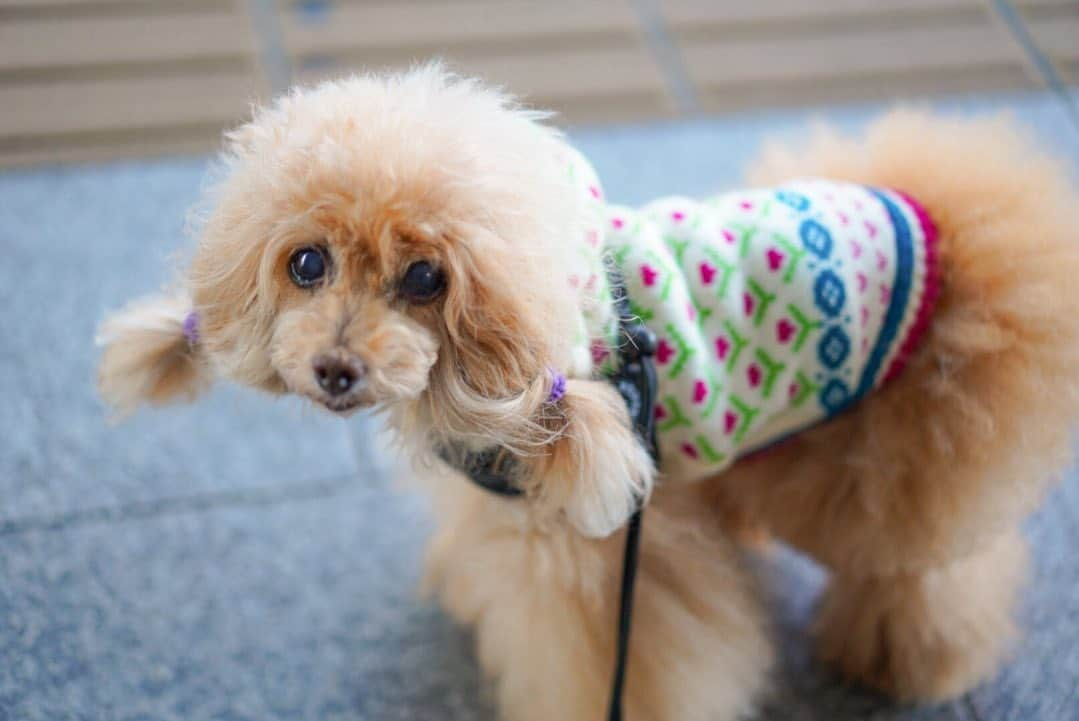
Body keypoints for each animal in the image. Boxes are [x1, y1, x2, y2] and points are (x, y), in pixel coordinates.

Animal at [94, 66, 1079, 716]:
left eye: (425, 278)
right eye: (307, 263)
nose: (336, 368)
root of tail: (944, 214)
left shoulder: (597, 560)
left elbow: (614, 664)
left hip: (892, 457)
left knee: (928, 568)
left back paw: (910, 662)